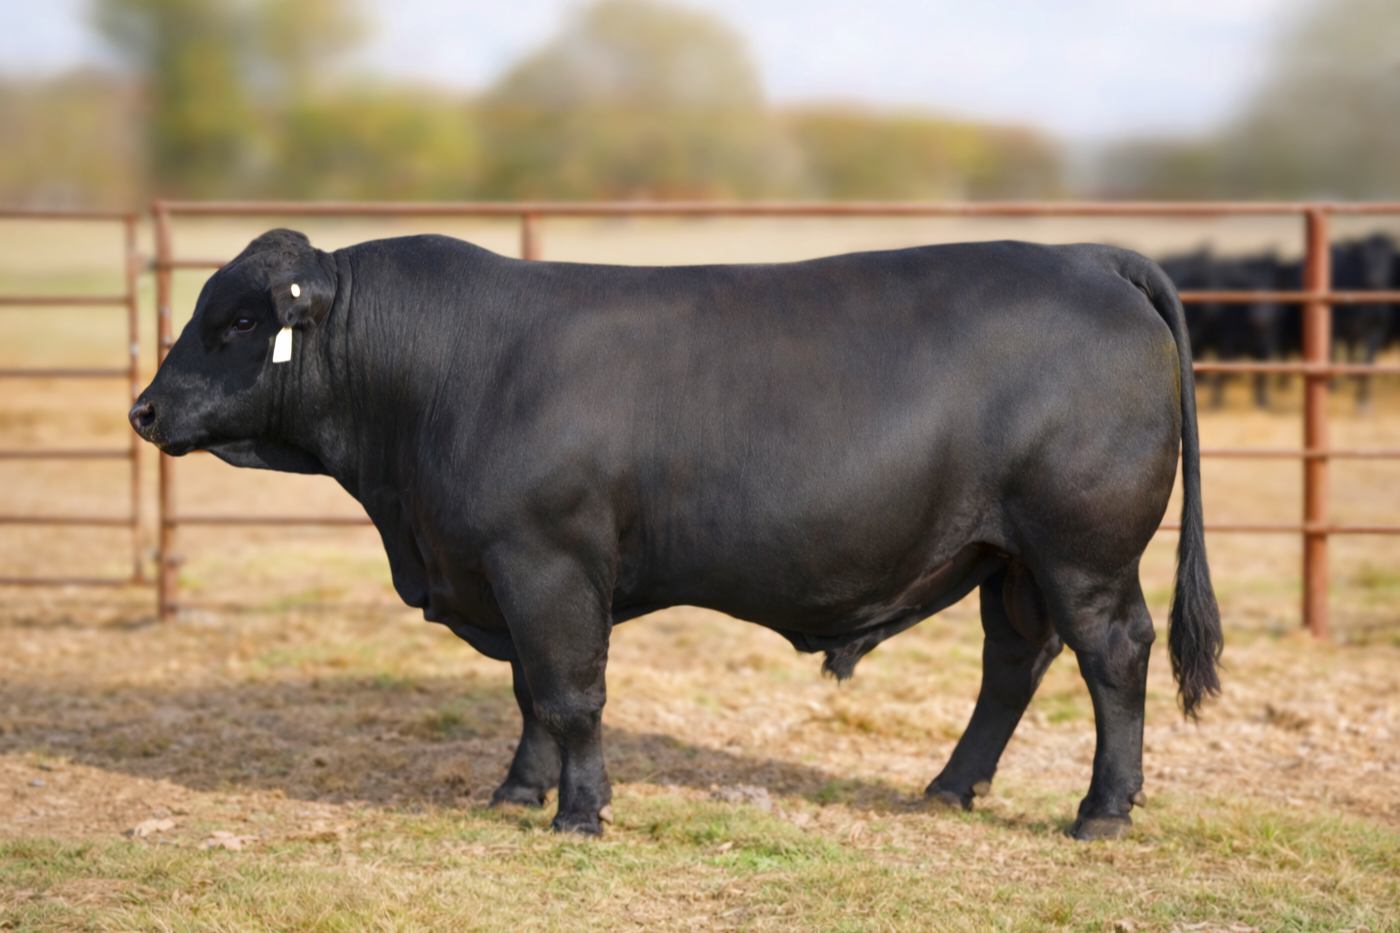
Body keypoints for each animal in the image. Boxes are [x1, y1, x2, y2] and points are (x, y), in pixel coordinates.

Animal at [130, 230, 1222, 841]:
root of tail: (1083, 256)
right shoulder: (503, 573)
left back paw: (1100, 811)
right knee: (1013, 662)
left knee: (1112, 656)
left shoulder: (548, 561)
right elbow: (530, 692)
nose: (143, 409)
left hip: (1082, 546)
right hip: (1008, 555)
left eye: (238, 322)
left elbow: (569, 694)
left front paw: (578, 813)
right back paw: (950, 788)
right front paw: (515, 793)